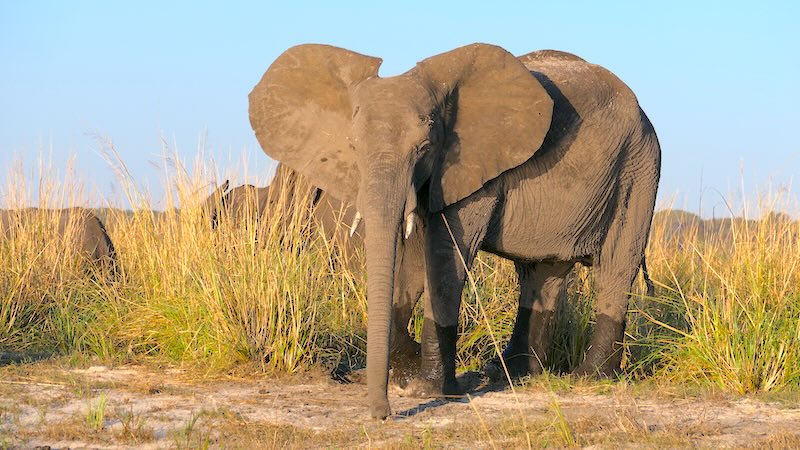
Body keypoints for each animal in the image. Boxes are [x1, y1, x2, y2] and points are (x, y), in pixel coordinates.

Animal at [249, 43, 661, 419]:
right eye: (352, 146)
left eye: (424, 147)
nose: (382, 414)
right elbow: (413, 260)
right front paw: (406, 375)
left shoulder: (468, 167)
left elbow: (443, 257)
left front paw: (425, 389)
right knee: (540, 274)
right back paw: (507, 375)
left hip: (638, 170)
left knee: (615, 268)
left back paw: (589, 378)